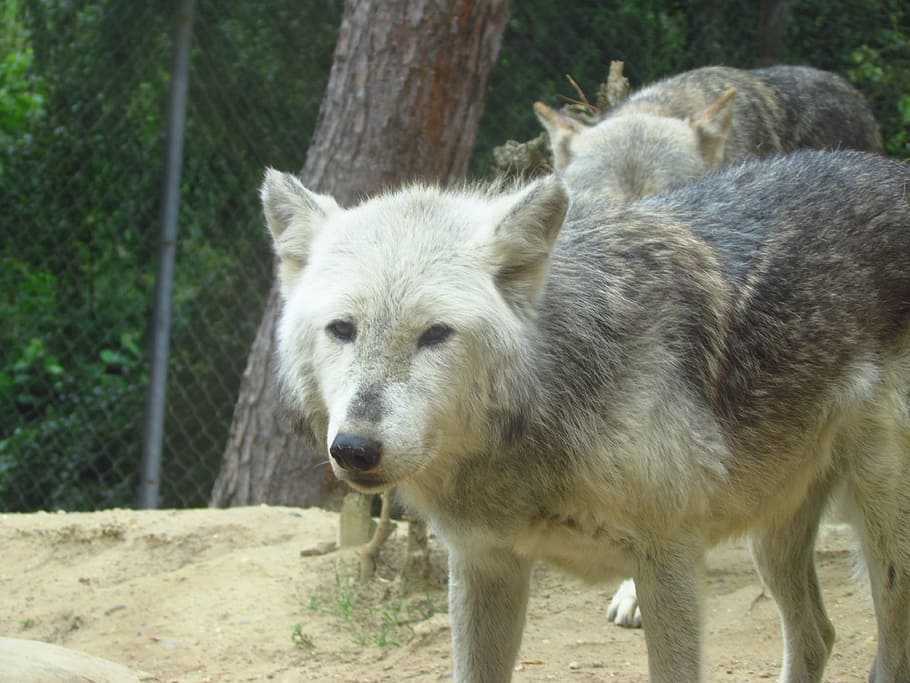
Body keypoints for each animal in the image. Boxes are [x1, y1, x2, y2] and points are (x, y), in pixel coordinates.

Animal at [262, 149, 910, 683]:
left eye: (435, 335)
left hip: (885, 536)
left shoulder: (670, 564)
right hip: (774, 534)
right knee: (817, 635)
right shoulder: (484, 564)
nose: (354, 449)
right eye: (342, 329)